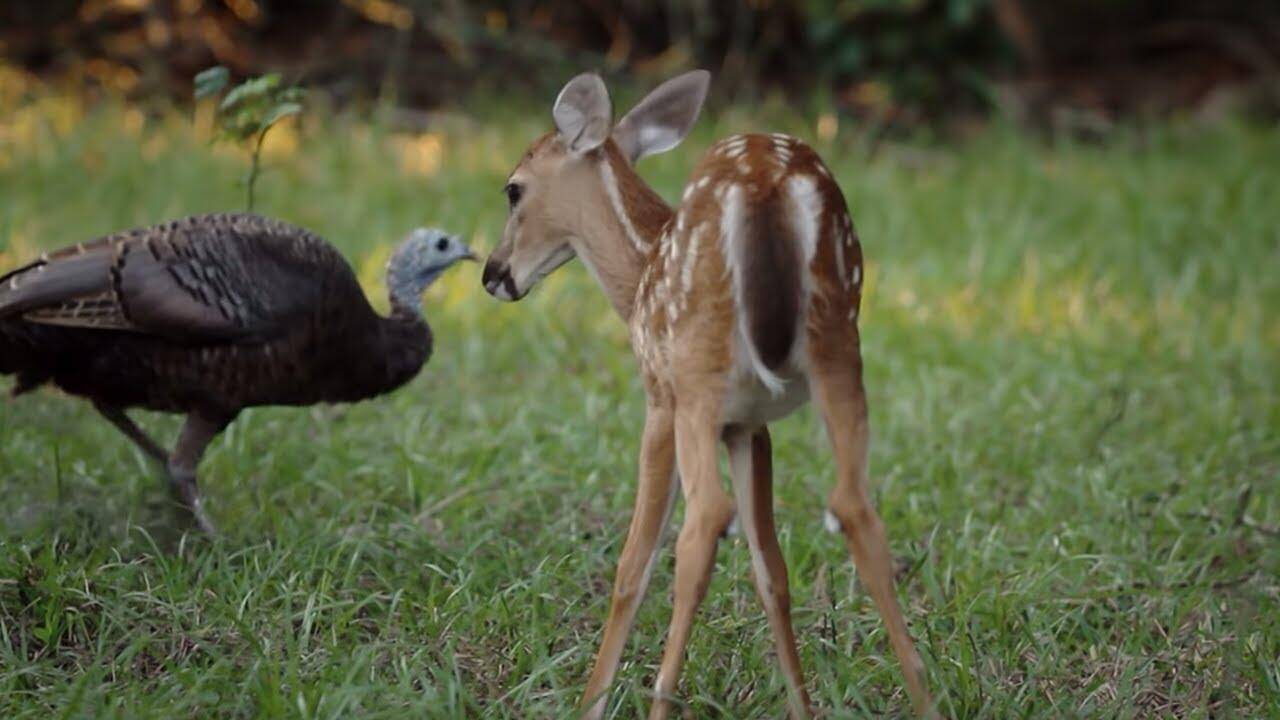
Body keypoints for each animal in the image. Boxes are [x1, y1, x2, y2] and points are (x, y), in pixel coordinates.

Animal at [481, 70, 938, 719]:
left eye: (513, 190)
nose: (493, 275)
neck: (639, 273)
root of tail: (767, 187)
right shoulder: (749, 424)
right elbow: (771, 571)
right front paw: (801, 706)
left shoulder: (661, 398)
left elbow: (634, 565)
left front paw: (592, 702)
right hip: (838, 346)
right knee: (856, 506)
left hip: (700, 368)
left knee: (703, 524)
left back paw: (658, 701)